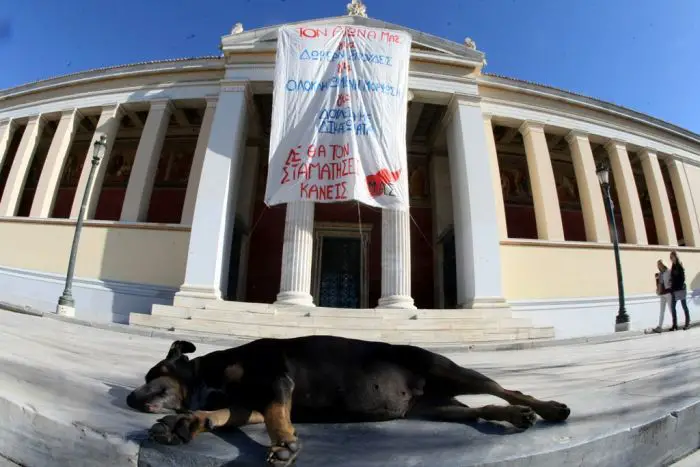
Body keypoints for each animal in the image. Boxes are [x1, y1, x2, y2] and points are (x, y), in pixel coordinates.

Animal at [129, 338, 572, 466]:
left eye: (151, 375)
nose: (131, 397)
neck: (207, 377)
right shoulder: (247, 403)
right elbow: (218, 414)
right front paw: (185, 423)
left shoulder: (276, 381)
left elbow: (275, 417)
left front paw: (285, 445)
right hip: (435, 406)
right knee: (481, 408)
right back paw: (516, 415)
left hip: (445, 368)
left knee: (503, 389)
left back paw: (547, 407)